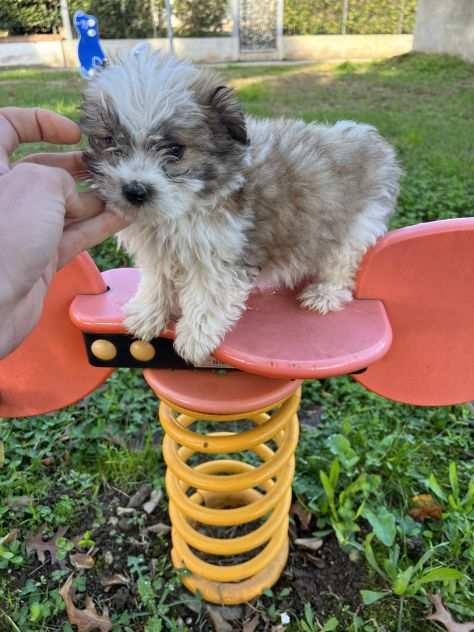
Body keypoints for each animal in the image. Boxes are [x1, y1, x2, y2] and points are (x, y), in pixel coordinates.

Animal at [81, 48, 400, 362]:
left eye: (175, 150)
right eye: (109, 141)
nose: (134, 191)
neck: (180, 211)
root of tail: (371, 141)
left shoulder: (219, 254)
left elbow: (208, 296)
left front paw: (195, 337)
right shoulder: (158, 250)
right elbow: (157, 281)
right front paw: (148, 313)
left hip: (355, 226)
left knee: (341, 264)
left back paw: (325, 293)